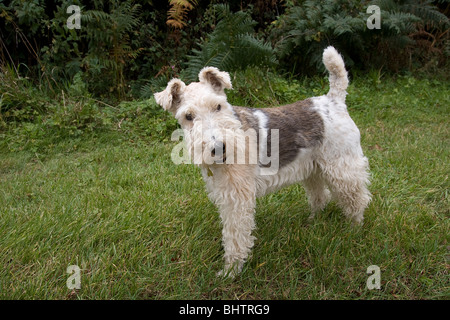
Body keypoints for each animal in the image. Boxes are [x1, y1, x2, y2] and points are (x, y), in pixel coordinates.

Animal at [153, 45, 370, 278]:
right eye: (188, 116)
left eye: (218, 106)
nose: (218, 147)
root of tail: (333, 99)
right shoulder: (226, 194)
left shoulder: (238, 198)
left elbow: (235, 236)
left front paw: (231, 271)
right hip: (314, 169)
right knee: (321, 196)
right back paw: (313, 220)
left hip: (342, 167)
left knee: (358, 199)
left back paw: (354, 228)